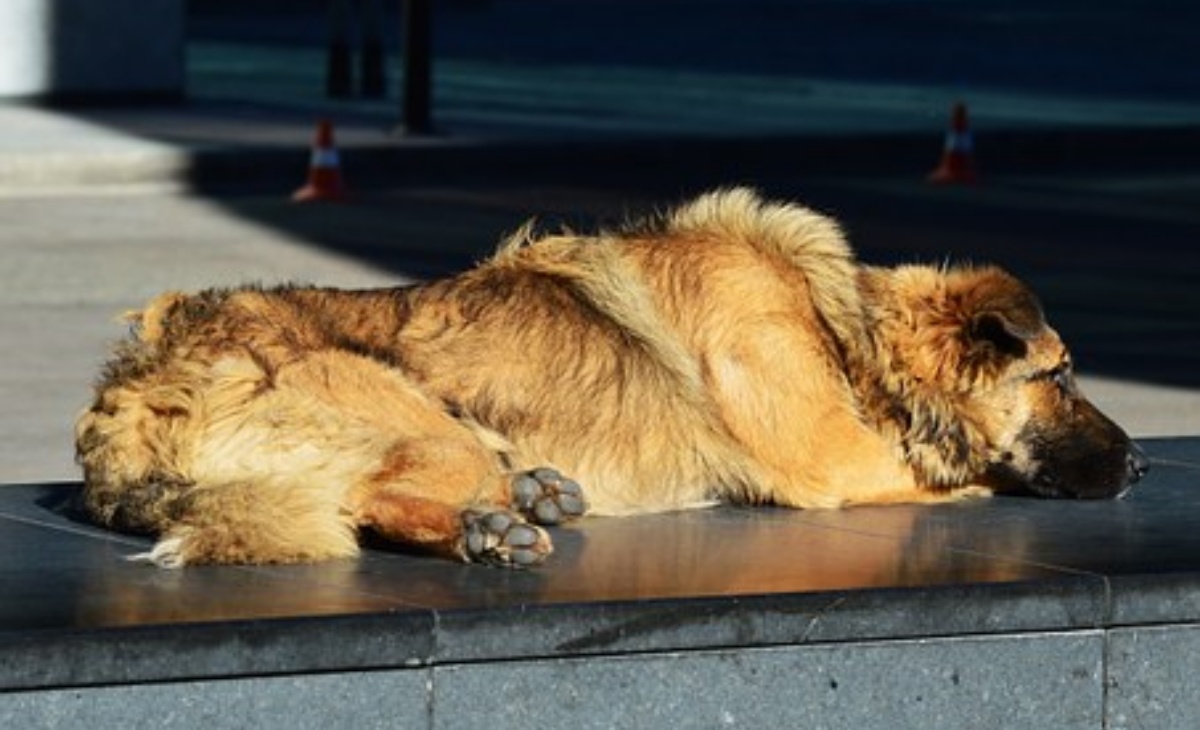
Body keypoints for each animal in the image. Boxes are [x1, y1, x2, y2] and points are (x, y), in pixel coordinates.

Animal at [72, 187, 1142, 564]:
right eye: (1063, 374)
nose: (1139, 468)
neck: (845, 330)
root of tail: (128, 390)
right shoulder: (842, 465)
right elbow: (966, 480)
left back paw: (529, 497)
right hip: (417, 414)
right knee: (367, 493)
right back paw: (490, 531)